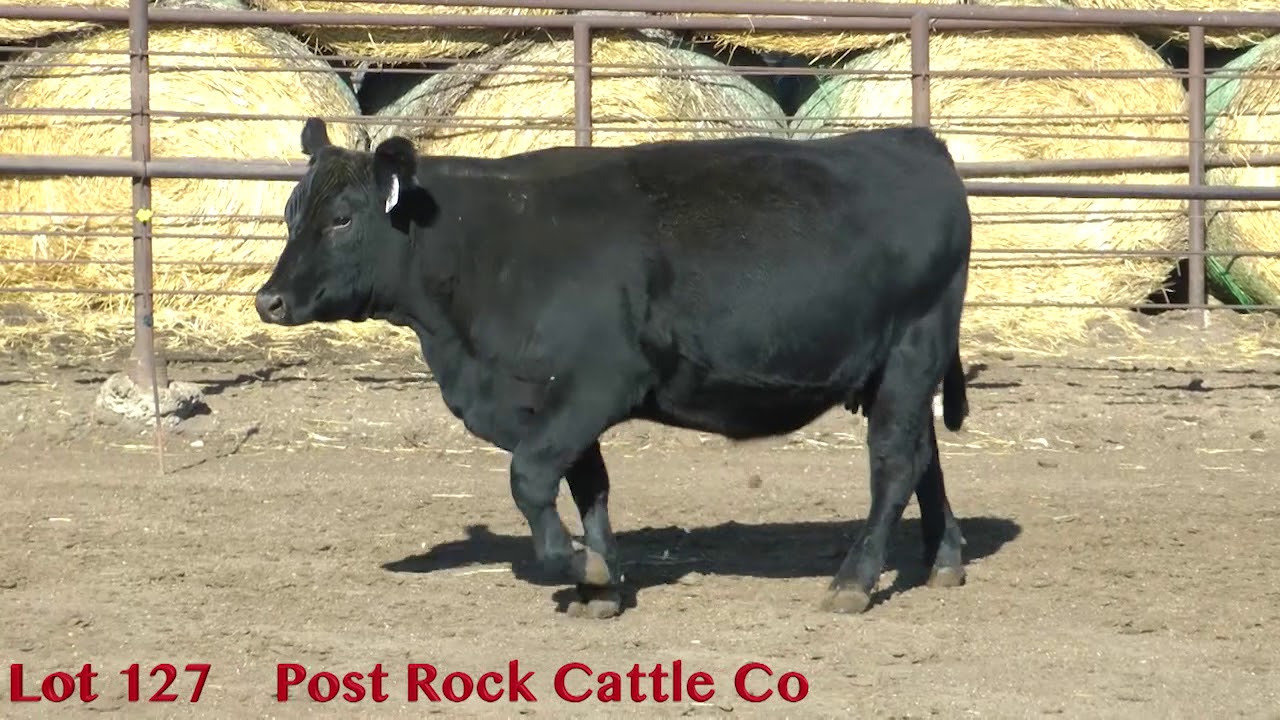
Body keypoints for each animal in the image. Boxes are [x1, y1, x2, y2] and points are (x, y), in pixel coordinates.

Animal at [255, 117, 973, 620]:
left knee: (894, 463)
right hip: (894, 370)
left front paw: (578, 565)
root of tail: (916, 144)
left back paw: (854, 581)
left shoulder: (594, 385)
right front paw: (599, 584)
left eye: (342, 218)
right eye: (291, 214)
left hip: (912, 349)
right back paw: (944, 561)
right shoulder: (548, 402)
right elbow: (588, 487)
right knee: (925, 456)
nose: (269, 300)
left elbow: (530, 478)